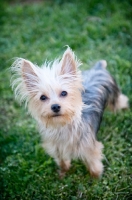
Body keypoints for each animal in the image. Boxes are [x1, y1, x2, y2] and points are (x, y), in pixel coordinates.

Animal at [10, 47, 128, 178]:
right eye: (42, 97)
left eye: (64, 93)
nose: (55, 106)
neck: (62, 125)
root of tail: (98, 68)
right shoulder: (57, 148)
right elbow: (62, 162)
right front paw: (63, 173)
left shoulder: (89, 147)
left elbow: (94, 164)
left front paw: (96, 178)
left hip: (114, 98)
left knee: (122, 101)